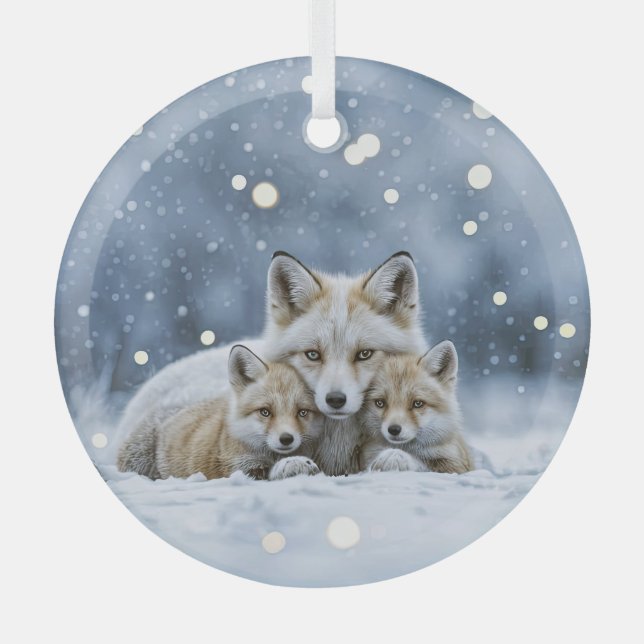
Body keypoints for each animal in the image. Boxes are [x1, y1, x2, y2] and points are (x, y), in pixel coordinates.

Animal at [117, 345, 322, 481]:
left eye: (302, 412)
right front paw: (293, 464)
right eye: (265, 412)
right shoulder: (237, 466)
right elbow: (267, 471)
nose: (286, 439)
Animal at [358, 341, 474, 474]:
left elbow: (422, 465)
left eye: (418, 403)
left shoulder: (456, 464)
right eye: (380, 403)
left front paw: (394, 455)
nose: (394, 429)